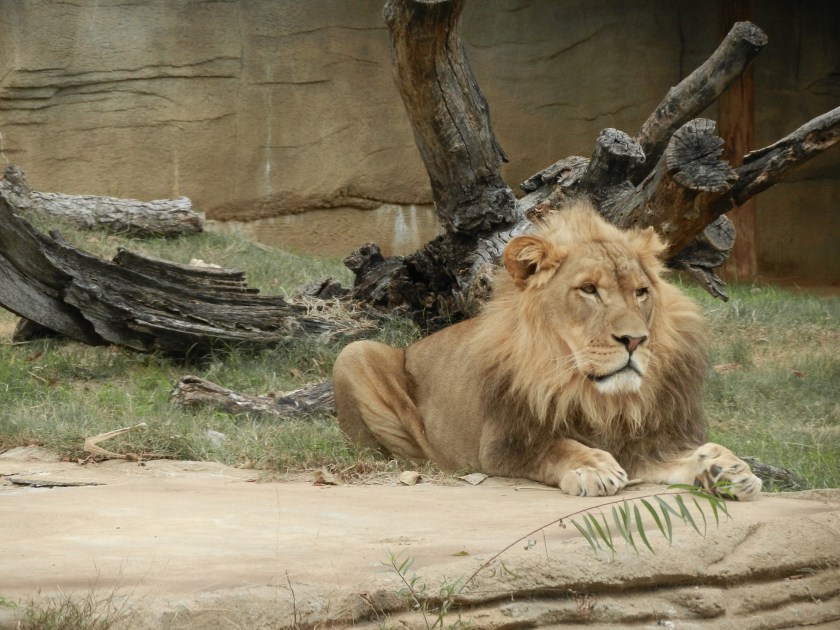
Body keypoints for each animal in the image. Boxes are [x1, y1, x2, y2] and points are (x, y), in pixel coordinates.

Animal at [333, 201, 762, 500]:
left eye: (641, 292)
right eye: (589, 289)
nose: (635, 340)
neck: (593, 395)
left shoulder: (643, 439)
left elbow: (680, 456)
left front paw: (723, 467)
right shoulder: (505, 446)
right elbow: (556, 447)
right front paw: (592, 466)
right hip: (354, 354)